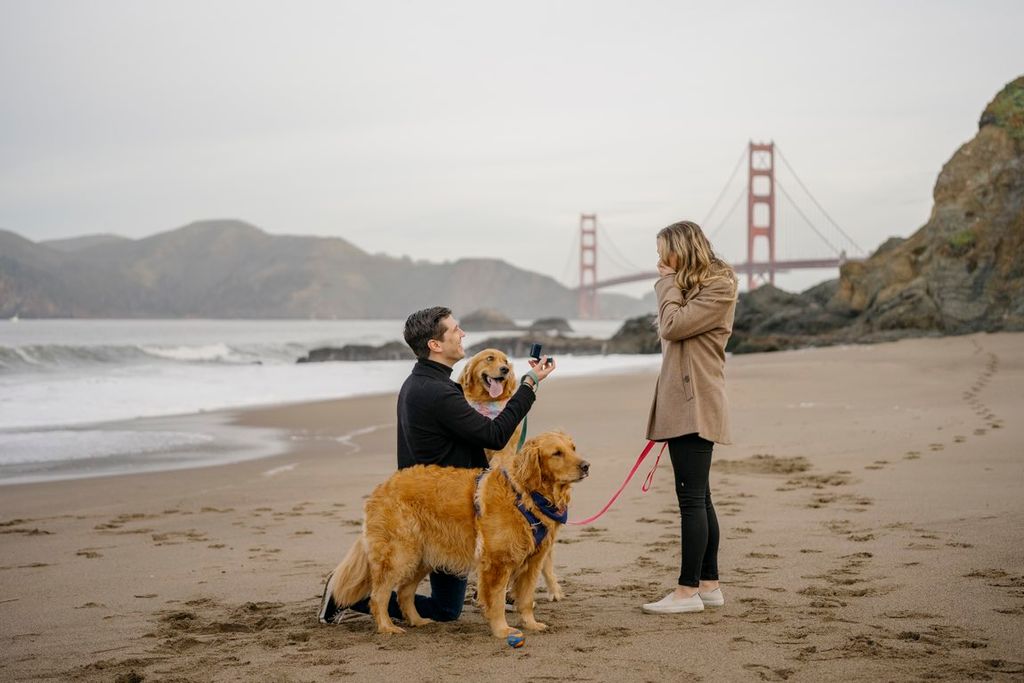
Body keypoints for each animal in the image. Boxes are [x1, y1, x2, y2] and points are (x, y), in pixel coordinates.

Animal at [319, 430, 593, 638]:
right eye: (556, 453)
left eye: (573, 448)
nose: (586, 466)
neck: (527, 494)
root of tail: (381, 487)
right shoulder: (497, 563)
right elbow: (496, 601)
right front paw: (502, 630)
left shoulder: (533, 562)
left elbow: (525, 599)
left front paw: (531, 624)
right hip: (400, 554)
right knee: (379, 595)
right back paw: (386, 627)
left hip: (422, 556)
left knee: (404, 593)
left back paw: (418, 621)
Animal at [458, 350, 569, 602]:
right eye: (490, 358)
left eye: (506, 361)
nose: (505, 370)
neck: (488, 405)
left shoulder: (505, 447)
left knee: (544, 561)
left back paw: (552, 591)